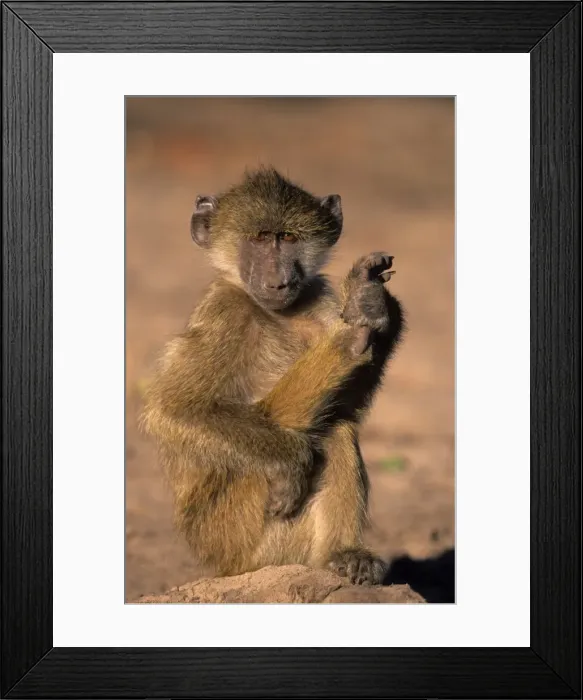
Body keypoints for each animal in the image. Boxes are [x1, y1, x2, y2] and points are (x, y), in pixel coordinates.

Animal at [142, 167, 404, 586]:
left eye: (289, 239)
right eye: (261, 239)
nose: (278, 282)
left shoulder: (319, 299)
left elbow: (349, 407)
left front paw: (370, 306)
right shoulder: (225, 312)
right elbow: (176, 408)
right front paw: (291, 462)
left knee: (336, 427)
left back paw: (344, 555)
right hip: (237, 535)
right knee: (326, 432)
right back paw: (346, 342)